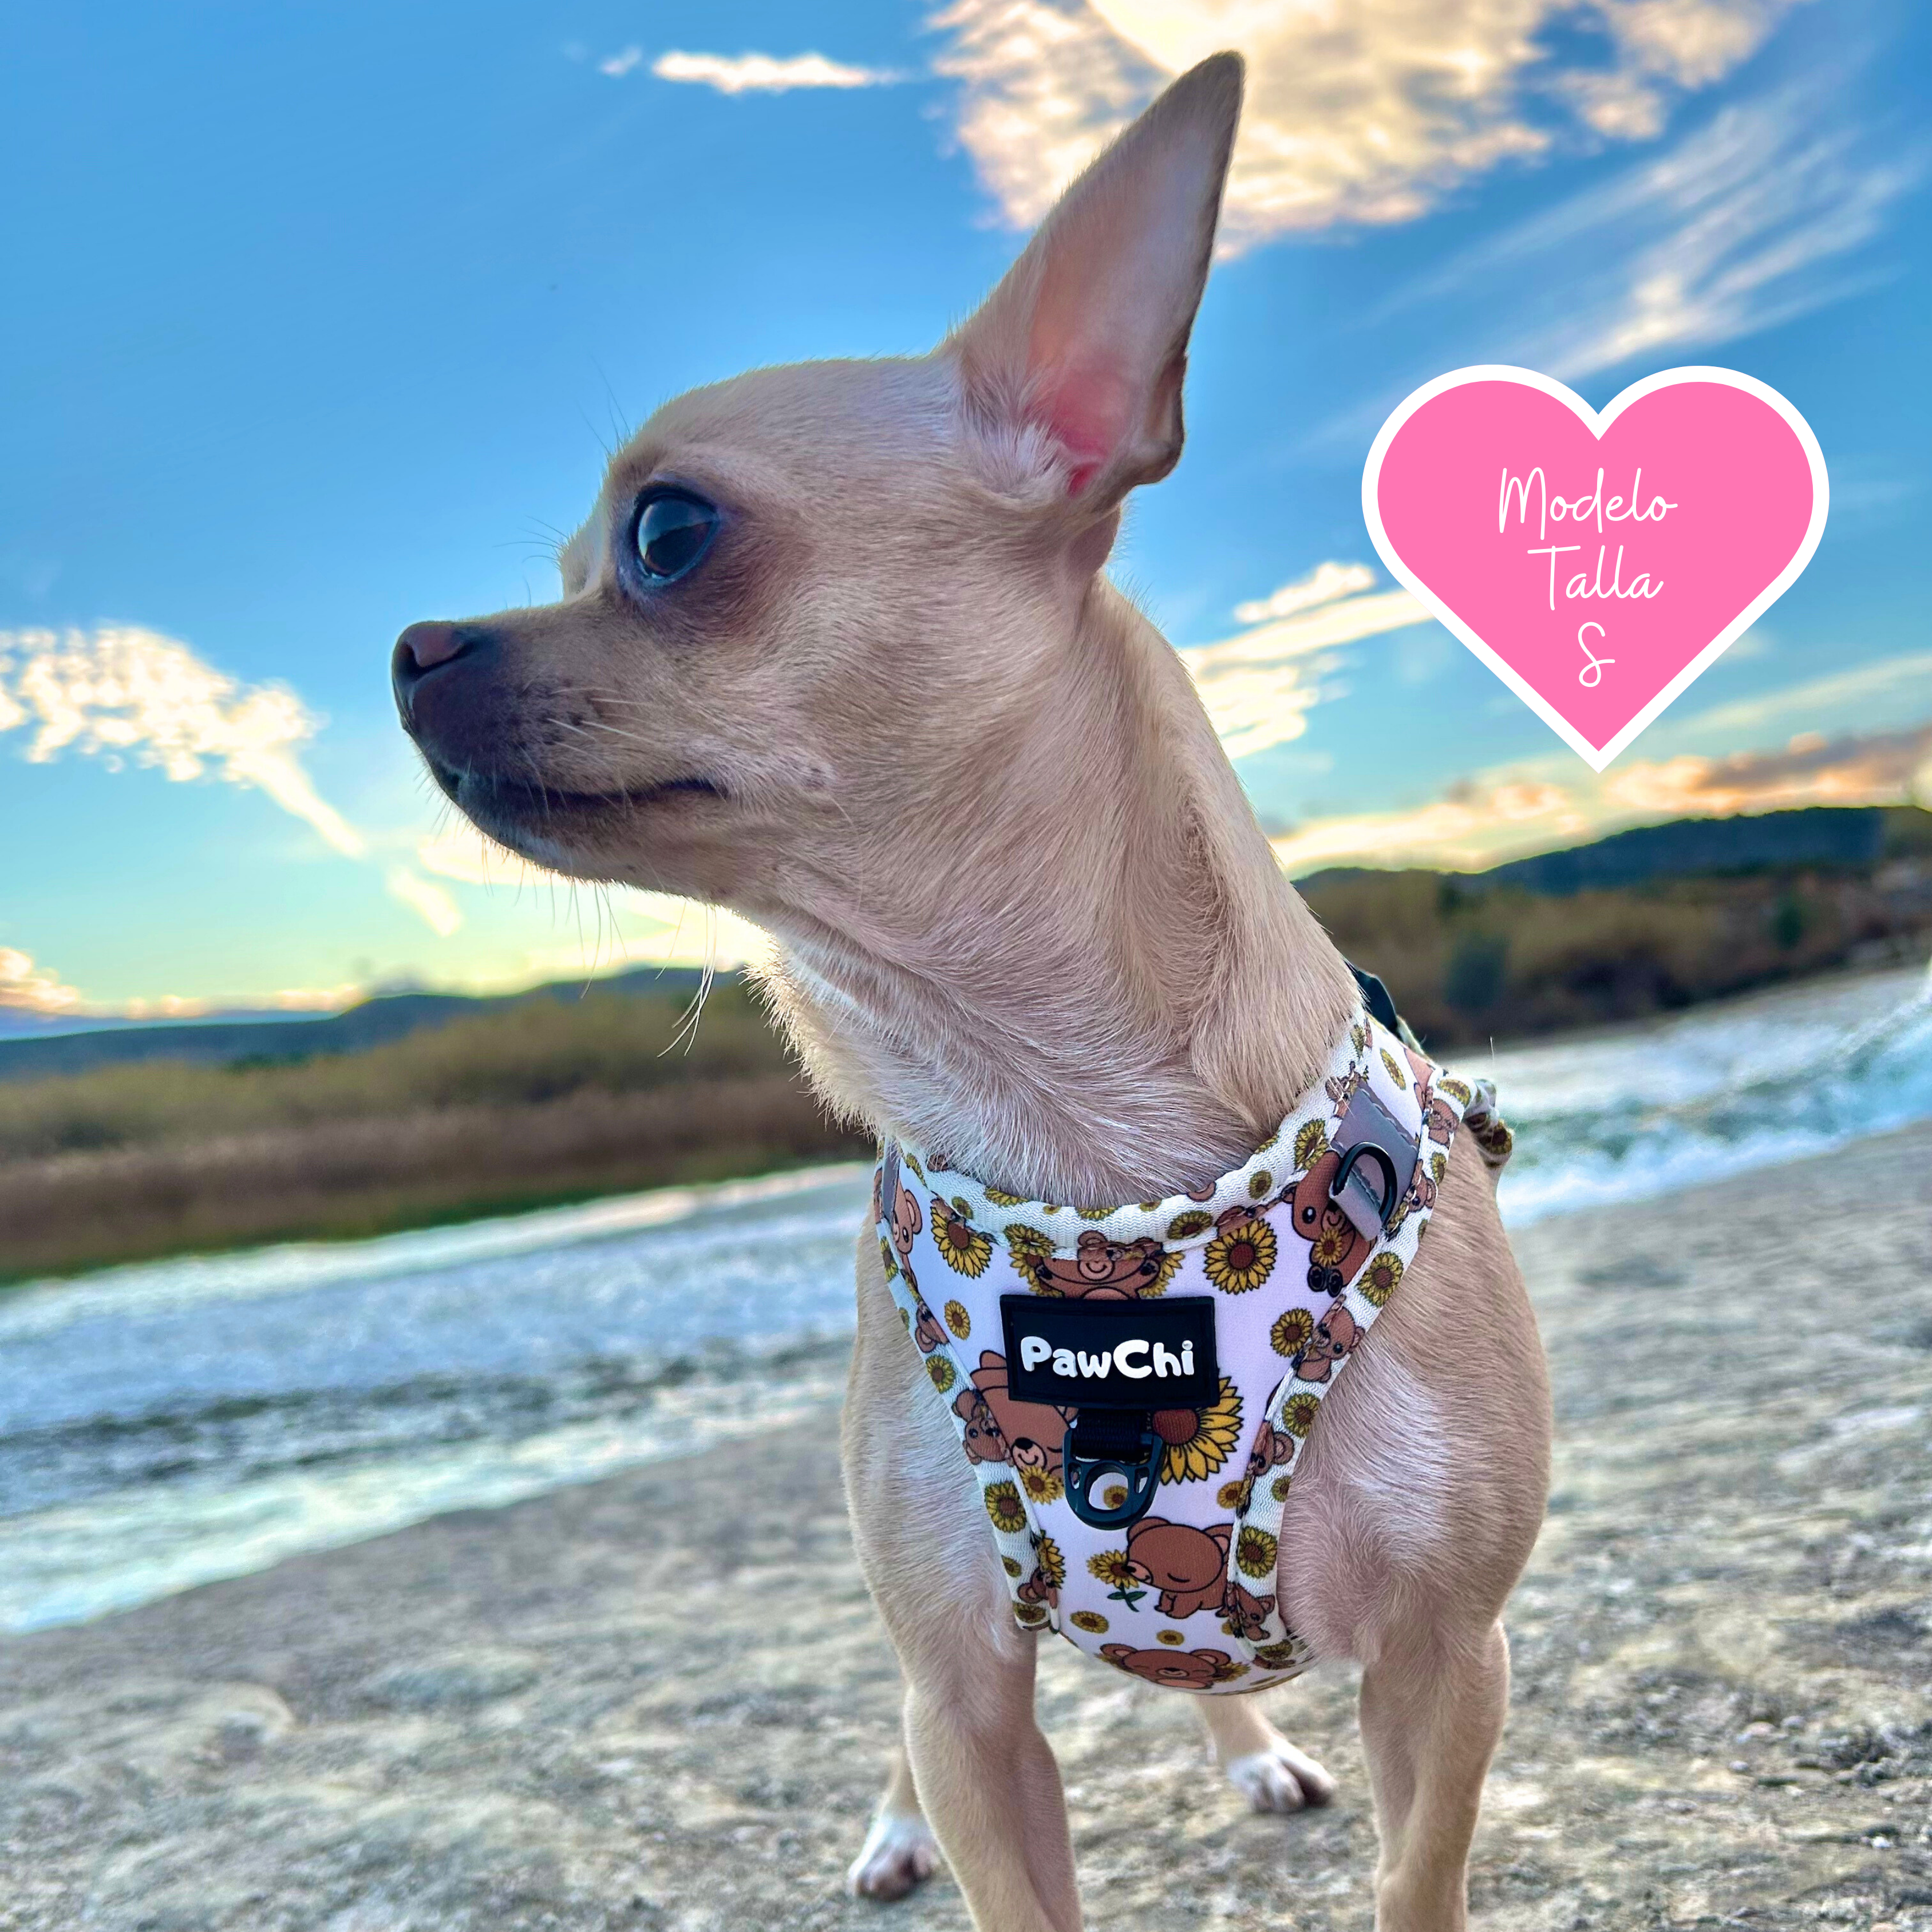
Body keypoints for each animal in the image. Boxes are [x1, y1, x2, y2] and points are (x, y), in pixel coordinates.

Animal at [1124, 1516, 1233, 1620]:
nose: (1134, 1568)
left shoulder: (1191, 1596)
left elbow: (1184, 1605)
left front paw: (1173, 1614)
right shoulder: (1169, 1592)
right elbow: (1165, 1599)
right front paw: (1161, 1608)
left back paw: (1222, 1613)